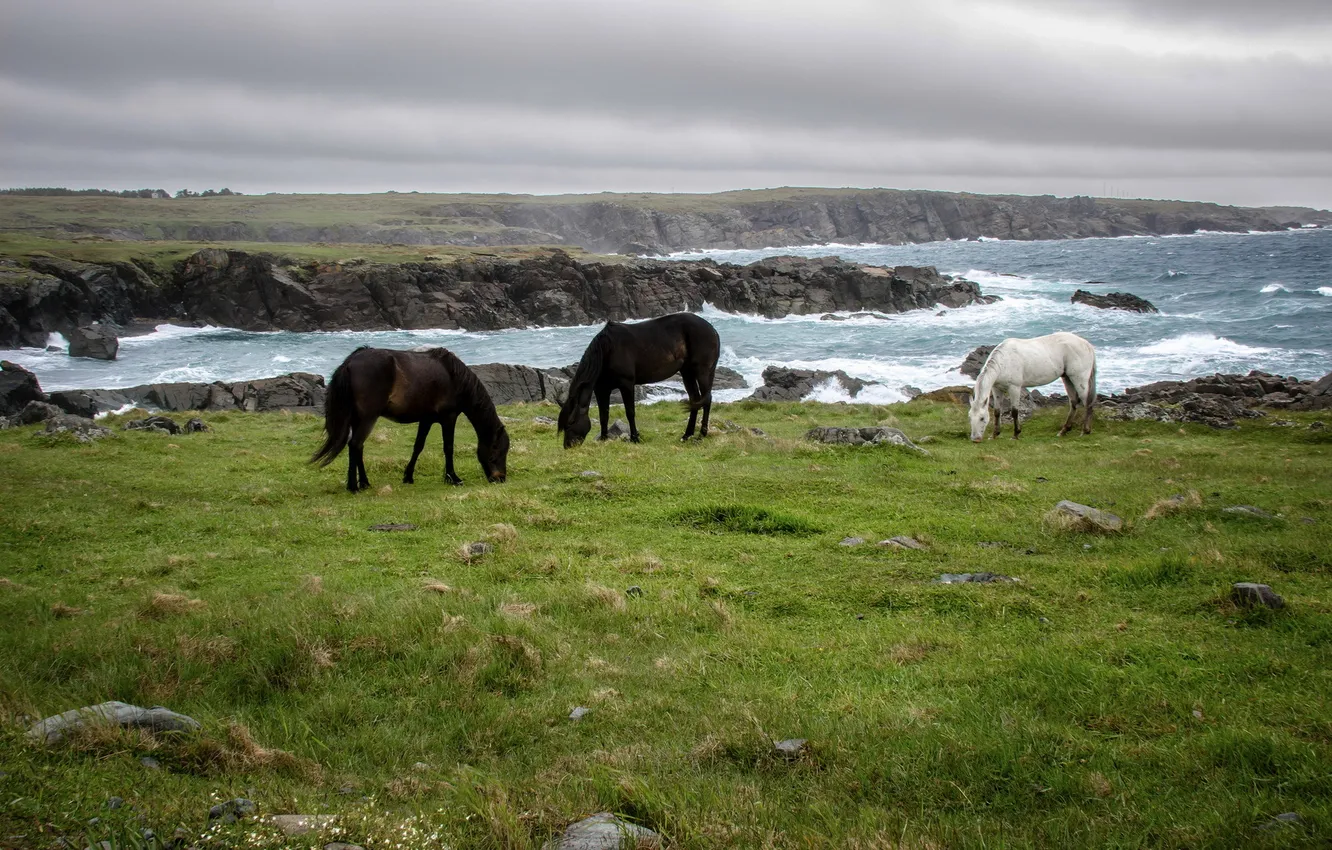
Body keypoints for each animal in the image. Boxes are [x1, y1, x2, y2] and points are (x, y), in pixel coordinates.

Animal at [310, 346, 510, 492]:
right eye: (497, 449)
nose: (500, 478)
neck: (454, 377)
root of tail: (350, 362)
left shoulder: (427, 419)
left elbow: (418, 447)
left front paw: (408, 476)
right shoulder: (449, 417)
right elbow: (448, 448)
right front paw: (452, 477)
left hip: (357, 418)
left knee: (358, 447)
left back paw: (365, 483)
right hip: (367, 417)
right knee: (355, 445)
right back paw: (353, 486)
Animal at [557, 313, 721, 448]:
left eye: (571, 422)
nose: (568, 446)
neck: (607, 350)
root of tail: (712, 329)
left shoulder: (626, 384)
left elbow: (630, 412)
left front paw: (634, 438)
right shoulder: (601, 389)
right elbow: (604, 415)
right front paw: (604, 439)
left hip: (702, 371)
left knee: (706, 399)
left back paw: (701, 435)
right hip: (687, 373)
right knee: (695, 400)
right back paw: (686, 435)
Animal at [968, 331, 1097, 442]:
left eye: (982, 418)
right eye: (970, 417)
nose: (975, 439)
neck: (1004, 361)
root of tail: (1086, 344)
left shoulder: (1014, 388)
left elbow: (1014, 411)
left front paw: (1016, 434)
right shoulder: (997, 389)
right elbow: (997, 412)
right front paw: (994, 434)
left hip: (1079, 379)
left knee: (1088, 403)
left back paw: (1085, 431)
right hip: (1067, 378)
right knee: (1074, 403)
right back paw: (1063, 431)